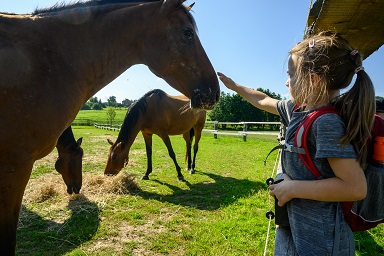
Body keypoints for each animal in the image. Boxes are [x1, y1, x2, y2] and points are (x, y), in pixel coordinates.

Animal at [0, 0, 219, 253]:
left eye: (188, 33)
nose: (214, 91)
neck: (55, 59)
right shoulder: (147, 133)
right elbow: (150, 154)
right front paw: (147, 174)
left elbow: (170, 153)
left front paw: (180, 176)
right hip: (186, 132)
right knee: (188, 146)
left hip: (198, 129)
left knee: (195, 147)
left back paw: (191, 168)